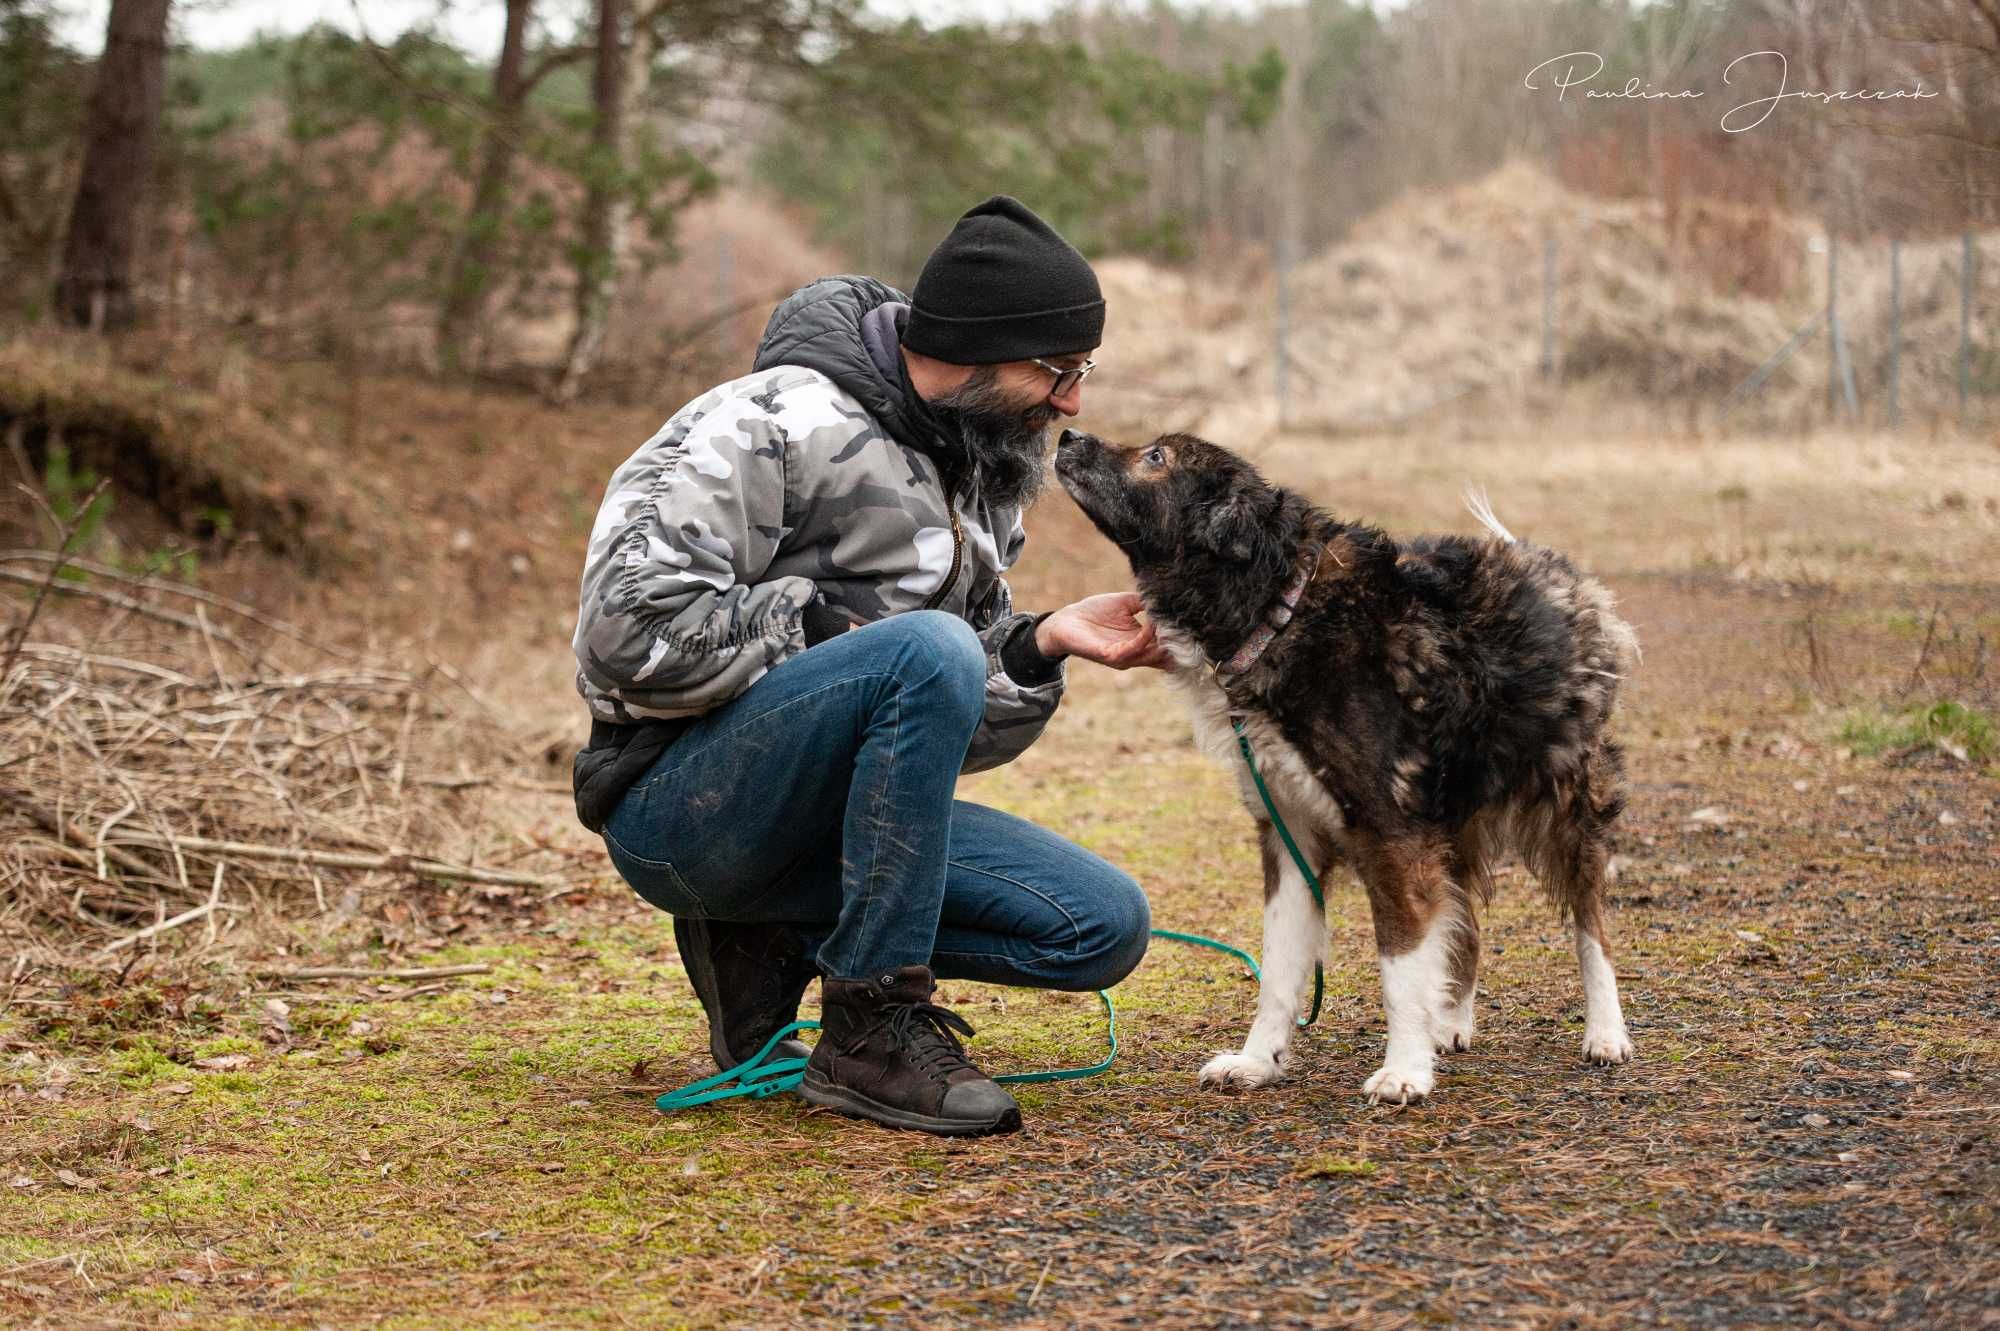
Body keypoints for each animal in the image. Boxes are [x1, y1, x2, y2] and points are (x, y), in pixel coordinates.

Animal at [1056, 425, 1632, 1095]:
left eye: (1156, 457)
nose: (1067, 434)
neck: (1278, 609)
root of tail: (1551, 566)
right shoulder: (1291, 834)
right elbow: (1280, 971)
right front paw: (1258, 1061)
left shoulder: (1390, 833)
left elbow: (1399, 966)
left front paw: (1404, 1069)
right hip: (1451, 814)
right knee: (1466, 921)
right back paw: (1452, 1022)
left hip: (1566, 800)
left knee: (1590, 924)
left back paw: (1605, 1032)